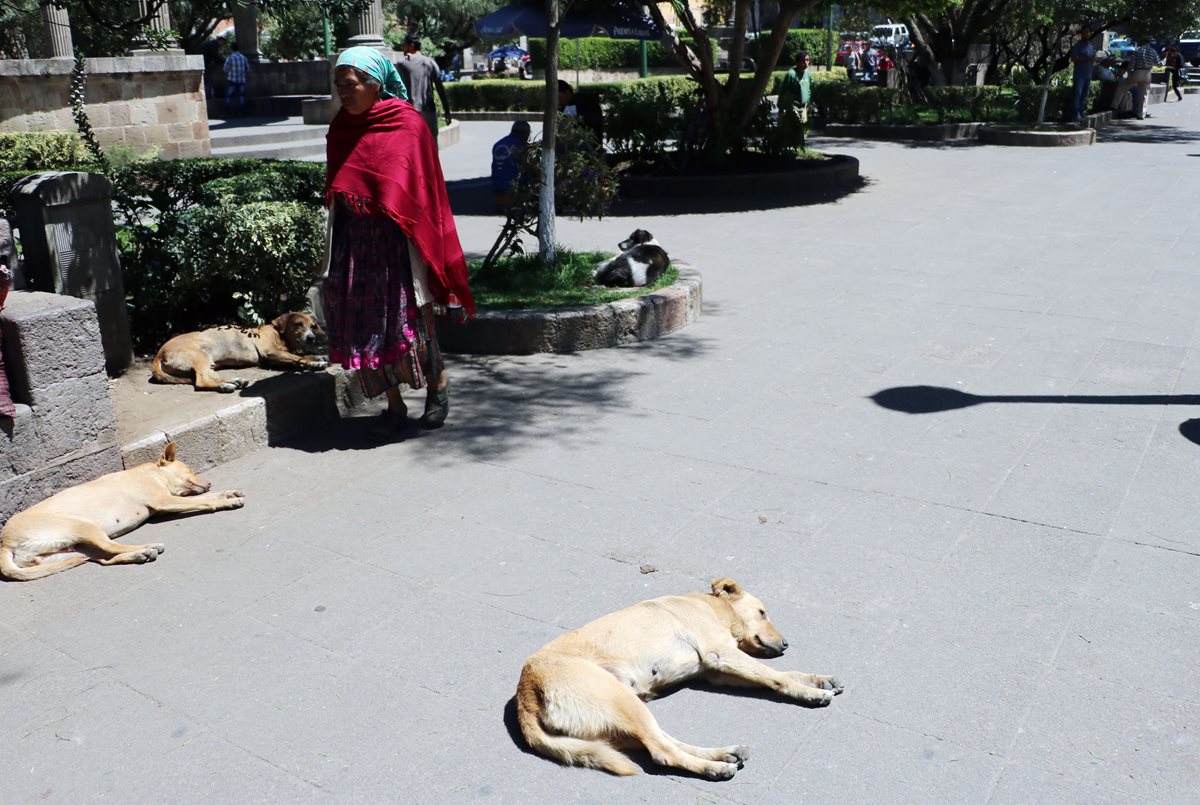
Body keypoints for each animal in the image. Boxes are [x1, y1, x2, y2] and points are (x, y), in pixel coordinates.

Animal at [0, 443, 246, 583]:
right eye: (192, 470)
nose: (210, 482)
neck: (152, 473)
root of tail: (5, 542)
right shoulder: (164, 501)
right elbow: (204, 501)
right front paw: (226, 502)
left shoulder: (164, 505)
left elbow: (203, 498)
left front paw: (227, 493)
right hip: (85, 528)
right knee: (111, 547)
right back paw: (146, 548)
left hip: (74, 549)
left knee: (104, 558)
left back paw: (140, 555)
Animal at [150, 311, 328, 393]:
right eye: (298, 324)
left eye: (312, 326)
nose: (311, 338)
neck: (280, 334)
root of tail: (158, 354)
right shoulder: (269, 352)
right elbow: (298, 357)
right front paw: (315, 363)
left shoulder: (272, 359)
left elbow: (299, 356)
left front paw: (318, 356)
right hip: (200, 357)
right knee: (201, 381)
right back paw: (225, 385)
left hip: (207, 362)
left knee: (209, 377)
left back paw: (233, 382)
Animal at [516, 580, 844, 782]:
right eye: (763, 613)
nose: (786, 644)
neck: (708, 606)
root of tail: (525, 693)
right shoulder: (721, 654)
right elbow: (775, 677)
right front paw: (809, 693)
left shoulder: (716, 672)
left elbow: (779, 675)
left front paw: (817, 680)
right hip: (621, 699)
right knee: (662, 752)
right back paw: (714, 768)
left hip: (621, 714)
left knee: (662, 740)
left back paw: (723, 753)